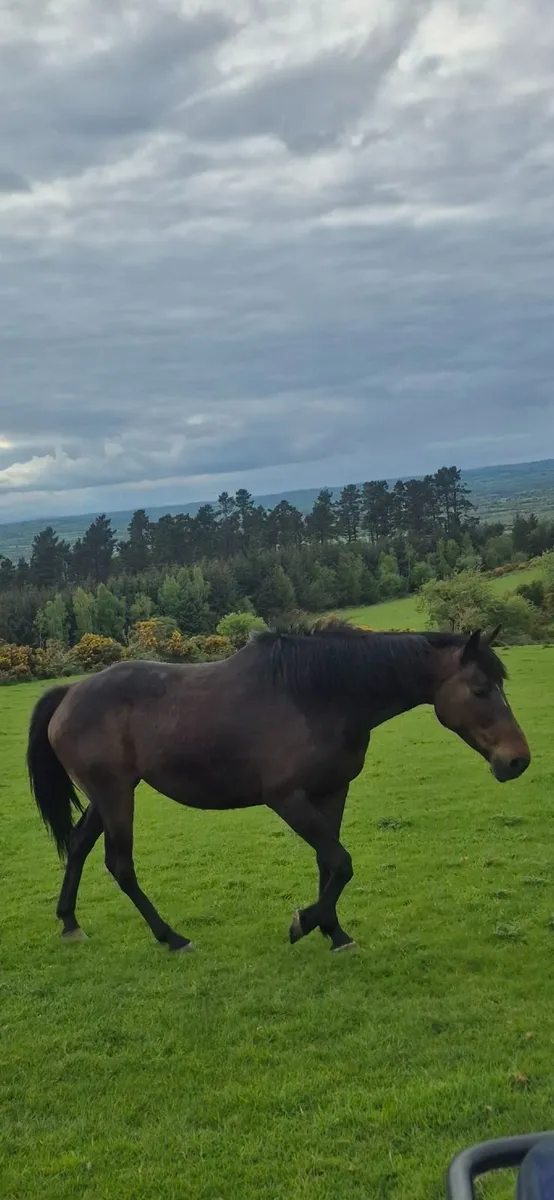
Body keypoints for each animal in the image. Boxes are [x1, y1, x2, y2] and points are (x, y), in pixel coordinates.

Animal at [27, 621, 530, 954]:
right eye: (481, 690)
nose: (517, 760)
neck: (318, 696)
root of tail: (69, 693)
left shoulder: (331, 793)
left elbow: (329, 864)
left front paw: (333, 932)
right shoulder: (286, 799)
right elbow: (341, 862)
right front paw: (304, 922)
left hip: (107, 794)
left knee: (78, 844)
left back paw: (70, 923)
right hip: (115, 795)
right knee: (120, 864)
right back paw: (172, 937)